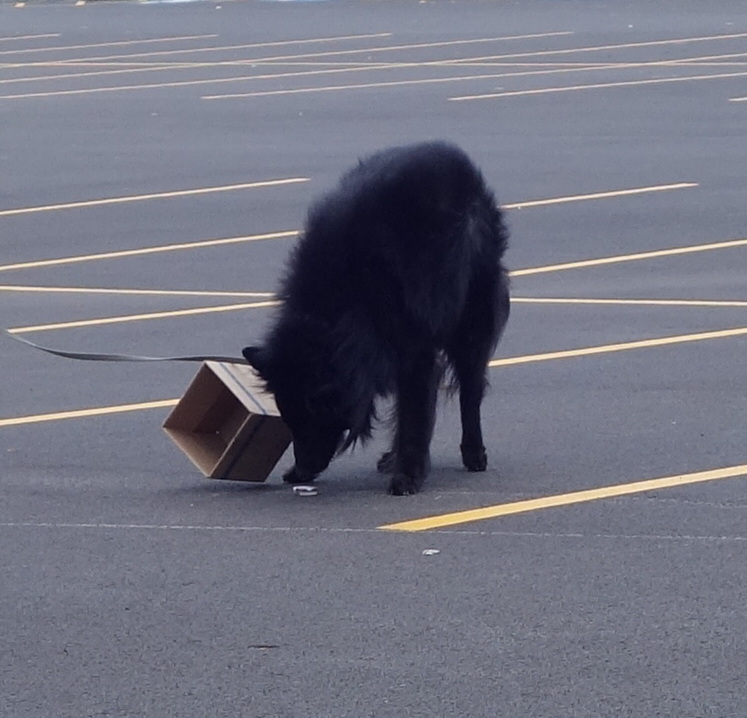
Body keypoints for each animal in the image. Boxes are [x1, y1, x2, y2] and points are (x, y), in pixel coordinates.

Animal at [243, 143, 512, 498]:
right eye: (289, 418)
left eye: (316, 415)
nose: (301, 470)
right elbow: (407, 412)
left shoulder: (415, 351)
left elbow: (414, 415)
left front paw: (408, 475)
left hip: (471, 320)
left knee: (470, 390)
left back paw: (473, 452)